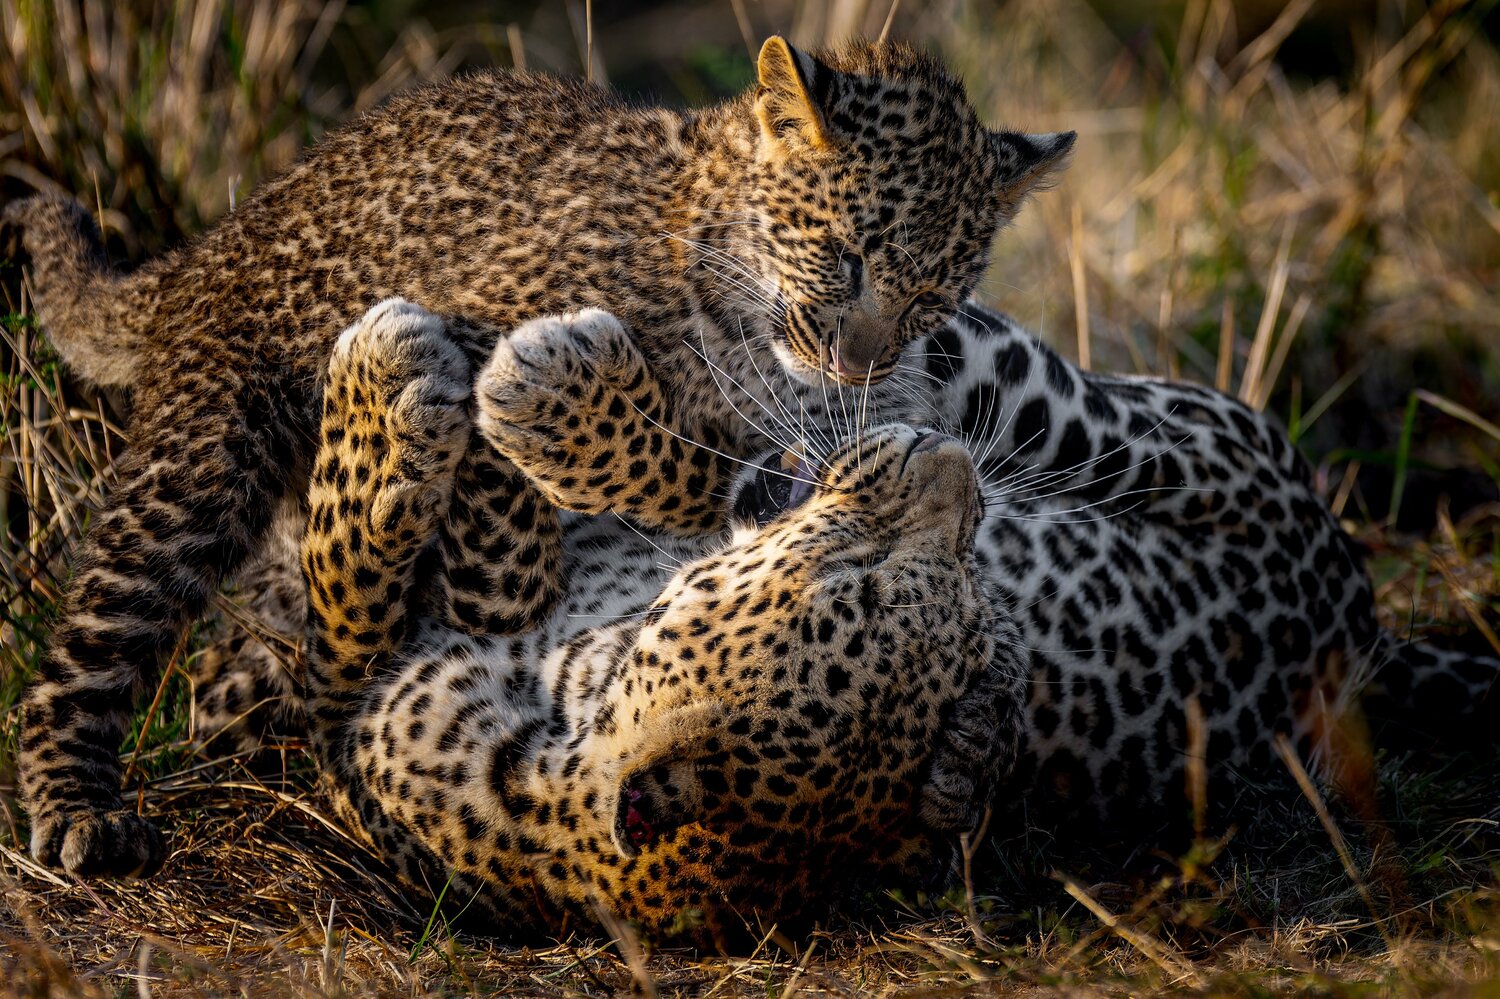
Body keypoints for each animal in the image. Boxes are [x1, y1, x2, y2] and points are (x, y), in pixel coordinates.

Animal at [0, 36, 1074, 876]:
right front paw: (507, 587)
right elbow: (516, 518)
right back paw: (77, 809)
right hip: (205, 455)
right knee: (94, 641)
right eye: (845, 256)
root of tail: (208, 247)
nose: (856, 362)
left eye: (934, 292)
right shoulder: (482, 316)